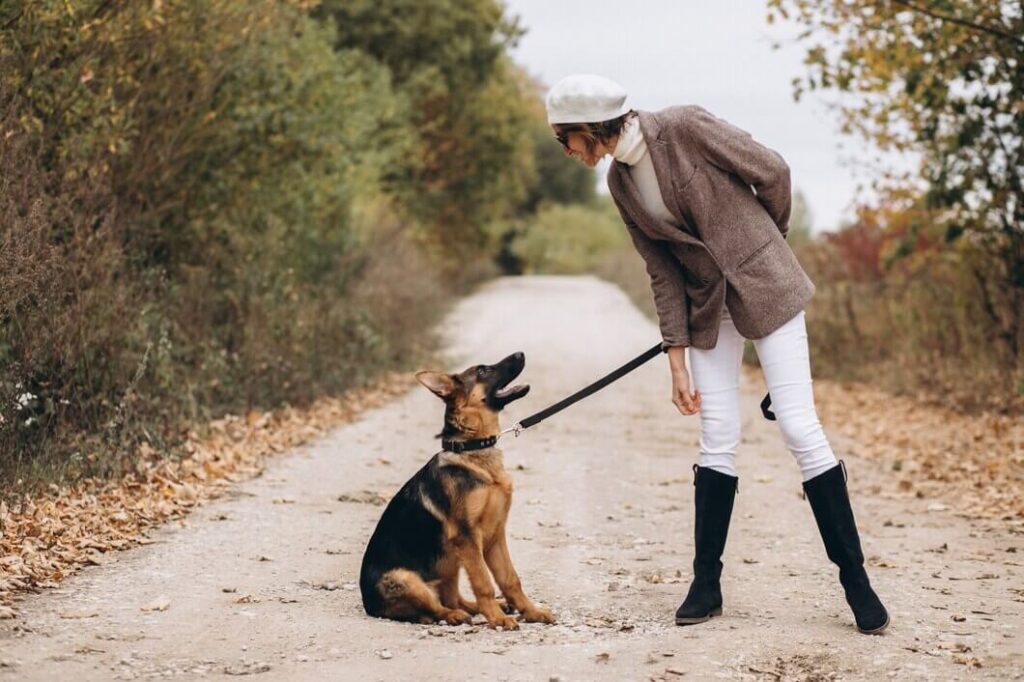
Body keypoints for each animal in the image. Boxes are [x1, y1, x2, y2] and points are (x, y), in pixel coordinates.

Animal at [358, 352, 557, 630]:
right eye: (483, 371)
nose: (521, 354)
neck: (472, 448)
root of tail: (369, 606)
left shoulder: (495, 536)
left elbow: (510, 579)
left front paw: (531, 612)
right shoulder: (468, 536)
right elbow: (484, 582)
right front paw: (497, 618)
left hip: (450, 563)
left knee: (452, 598)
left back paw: (483, 607)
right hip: (408, 578)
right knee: (435, 607)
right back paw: (456, 615)